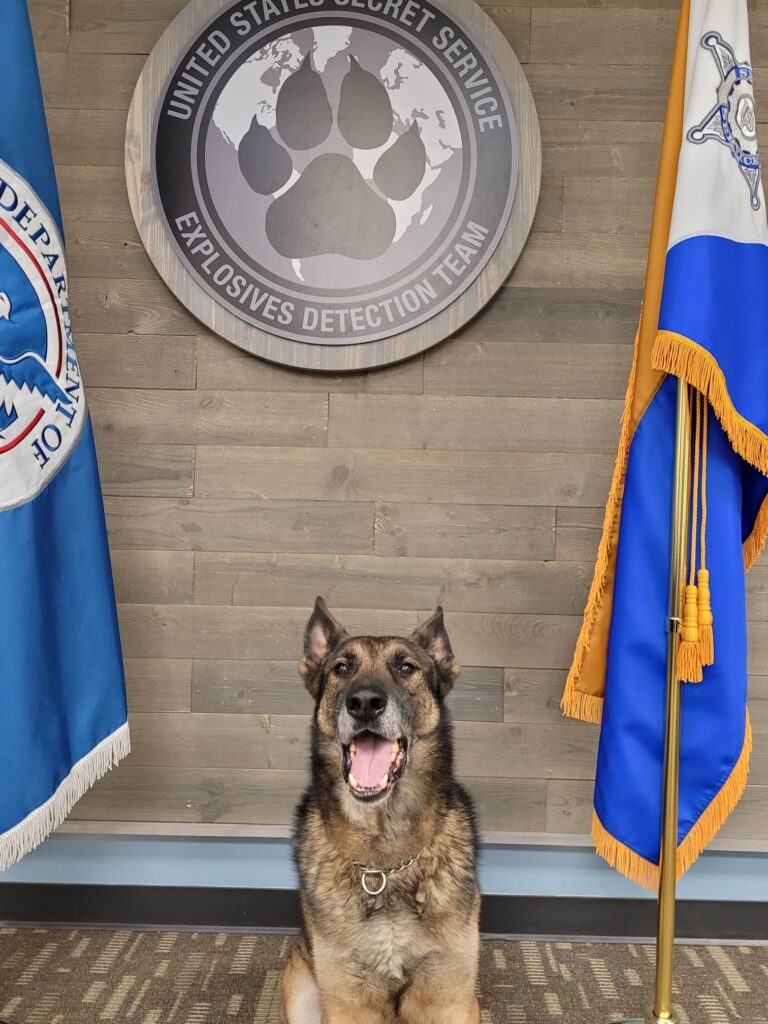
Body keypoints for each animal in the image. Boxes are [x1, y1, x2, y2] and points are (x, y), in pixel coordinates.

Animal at [280, 597, 480, 1024]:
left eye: (406, 667)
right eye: (341, 668)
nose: (365, 703)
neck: (386, 861)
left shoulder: (450, 1001)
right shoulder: (348, 1005)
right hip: (303, 993)